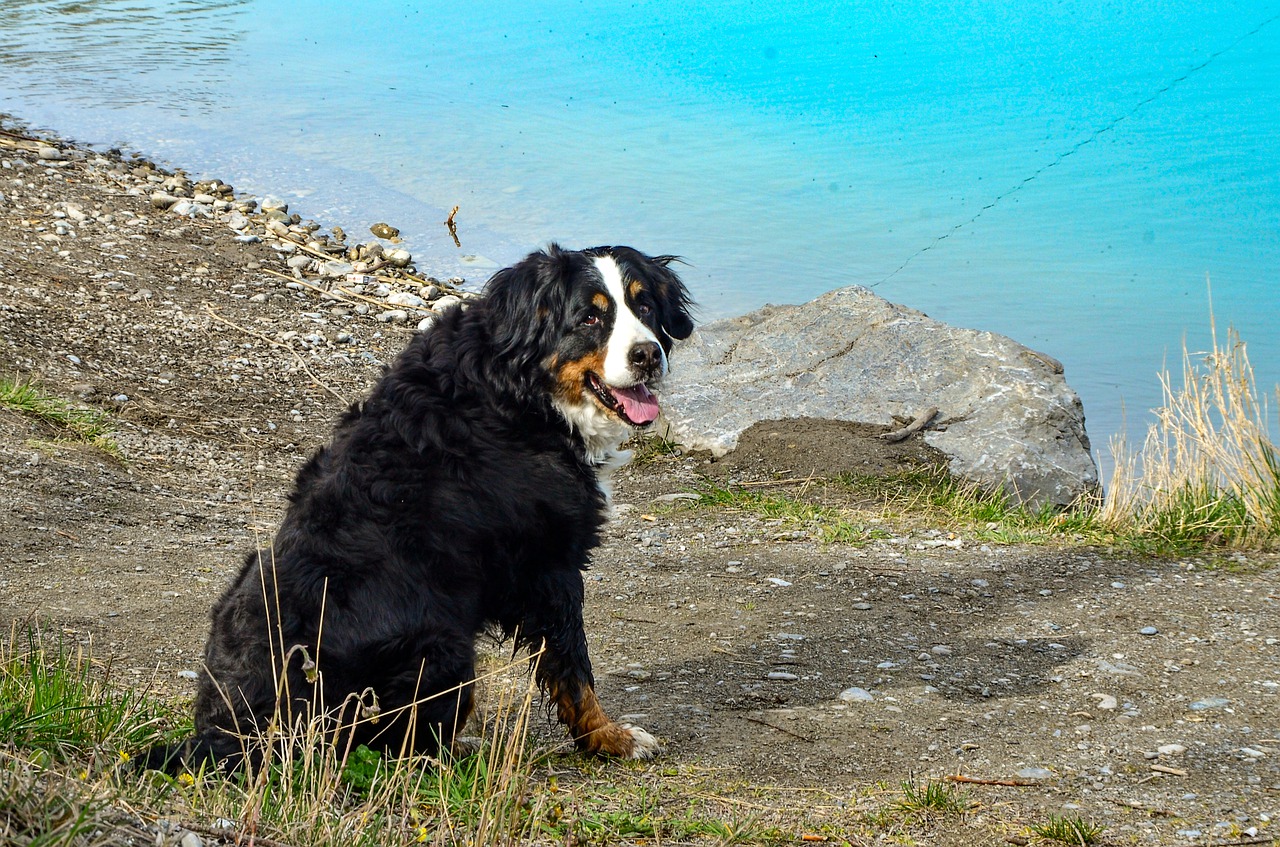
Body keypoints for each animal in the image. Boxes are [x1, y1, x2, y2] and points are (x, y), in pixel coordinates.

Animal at [153, 241, 696, 772]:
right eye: (589, 317)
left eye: (645, 306)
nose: (648, 355)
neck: (519, 392)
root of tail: (221, 737)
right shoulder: (551, 566)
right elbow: (572, 666)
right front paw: (609, 737)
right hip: (445, 649)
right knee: (394, 750)